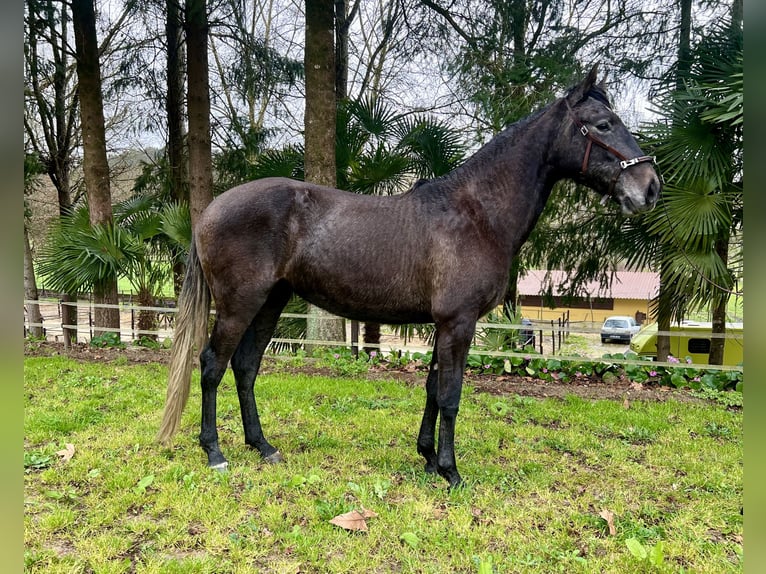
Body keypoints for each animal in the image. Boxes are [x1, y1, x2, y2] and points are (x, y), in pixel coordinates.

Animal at [159, 67, 664, 490]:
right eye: (603, 124)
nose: (650, 188)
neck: (476, 213)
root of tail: (210, 210)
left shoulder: (445, 324)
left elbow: (433, 390)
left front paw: (427, 458)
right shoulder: (459, 323)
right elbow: (451, 396)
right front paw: (451, 471)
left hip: (271, 301)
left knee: (246, 366)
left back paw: (262, 446)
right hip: (240, 303)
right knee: (212, 364)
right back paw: (215, 452)